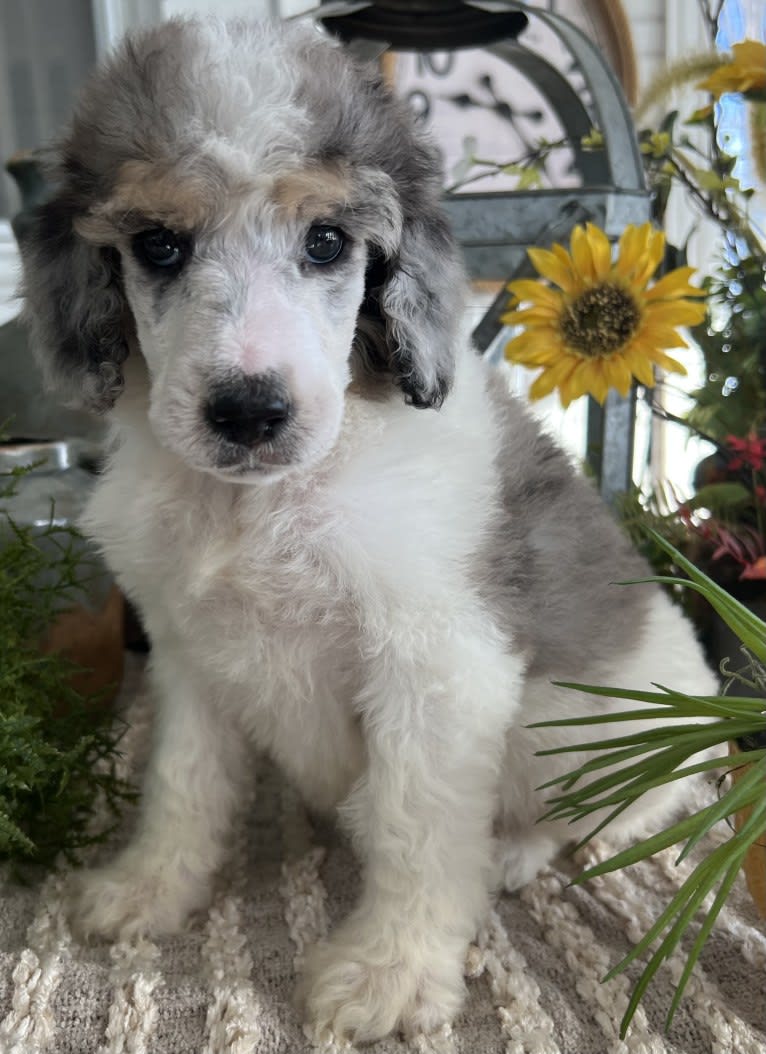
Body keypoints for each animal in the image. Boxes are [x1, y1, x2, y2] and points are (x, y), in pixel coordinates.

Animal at [17, 16, 720, 1045]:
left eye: (326, 242)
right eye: (157, 244)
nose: (249, 410)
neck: (264, 502)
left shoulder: (438, 672)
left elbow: (414, 827)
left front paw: (390, 973)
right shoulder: (188, 655)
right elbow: (182, 785)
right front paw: (149, 889)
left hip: (622, 735)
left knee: (633, 810)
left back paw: (523, 850)